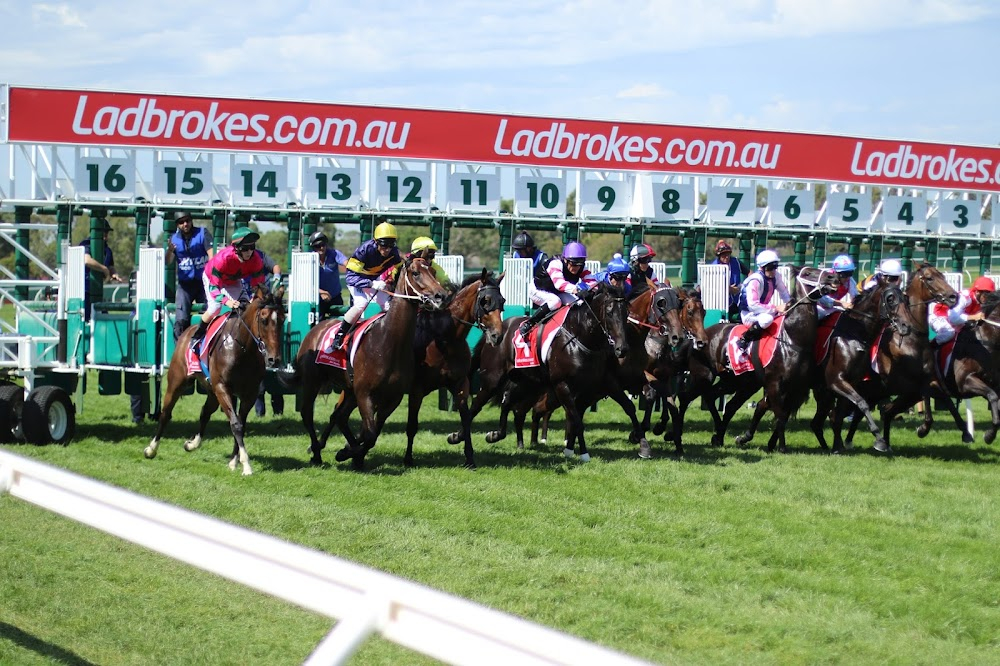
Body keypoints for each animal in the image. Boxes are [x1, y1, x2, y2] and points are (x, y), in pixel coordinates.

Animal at [143, 282, 288, 474]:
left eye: (282, 319)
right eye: (264, 320)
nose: (274, 359)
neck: (243, 349)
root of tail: (186, 332)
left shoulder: (249, 393)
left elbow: (240, 423)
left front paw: (234, 461)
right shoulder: (222, 387)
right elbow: (236, 424)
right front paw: (246, 465)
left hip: (212, 392)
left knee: (204, 412)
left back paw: (192, 444)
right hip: (178, 381)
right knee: (166, 413)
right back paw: (151, 449)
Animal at [280, 254, 448, 466]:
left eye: (433, 271)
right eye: (416, 273)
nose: (441, 296)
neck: (388, 341)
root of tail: (315, 329)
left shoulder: (393, 397)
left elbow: (373, 433)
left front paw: (351, 453)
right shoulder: (365, 393)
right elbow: (369, 434)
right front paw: (348, 453)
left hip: (349, 389)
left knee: (339, 416)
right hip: (313, 381)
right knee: (307, 414)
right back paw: (317, 452)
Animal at [402, 268, 504, 466]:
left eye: (502, 301)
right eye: (485, 301)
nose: (497, 335)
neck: (444, 340)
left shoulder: (459, 384)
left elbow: (466, 418)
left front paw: (469, 456)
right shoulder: (417, 389)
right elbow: (412, 425)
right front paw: (408, 458)